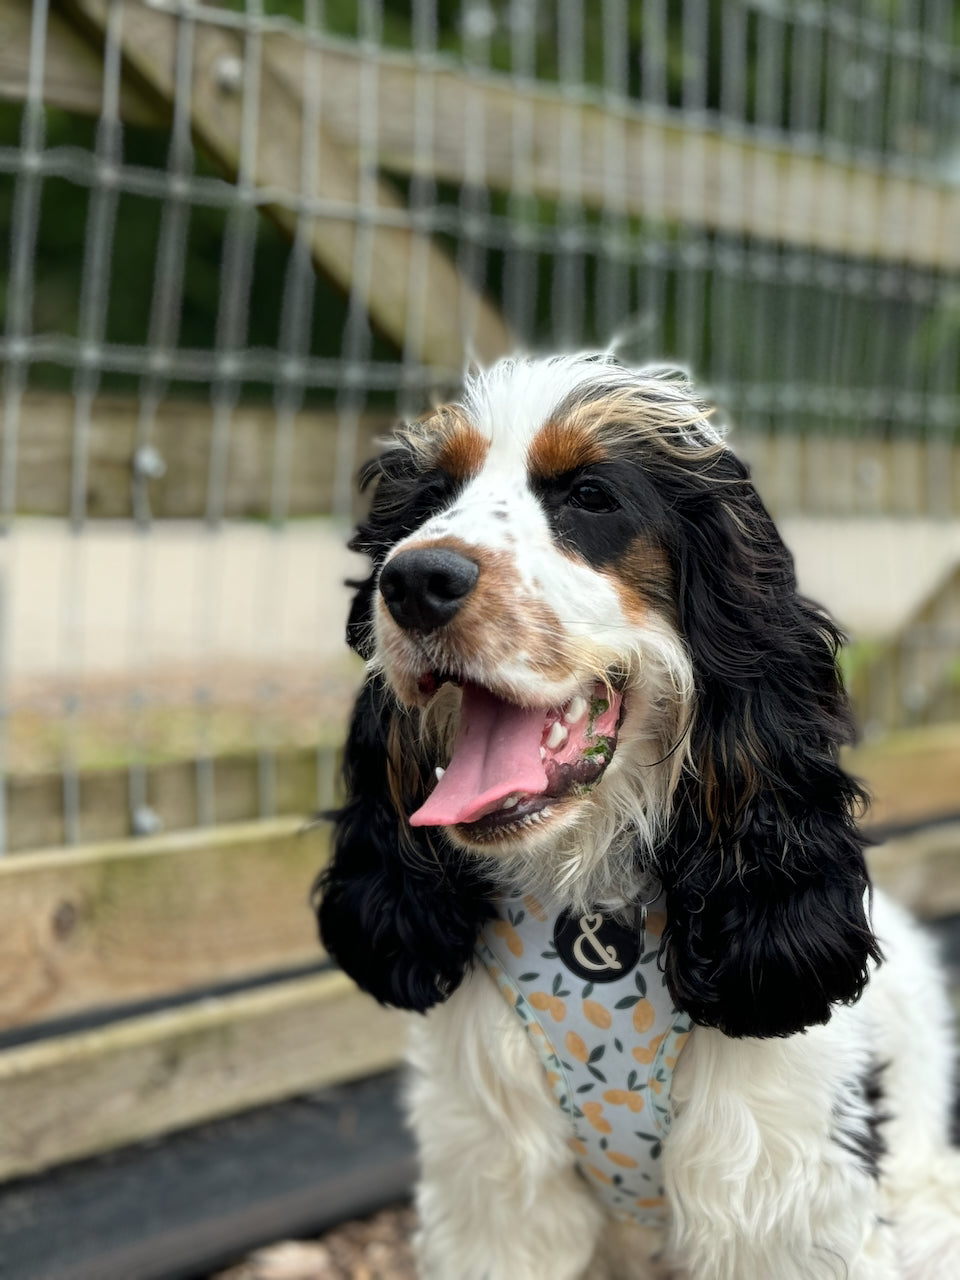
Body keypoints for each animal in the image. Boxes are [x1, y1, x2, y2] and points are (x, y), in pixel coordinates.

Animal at [317, 353, 960, 1280]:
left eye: (590, 496)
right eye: (430, 497)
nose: (412, 582)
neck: (588, 902)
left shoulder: (783, 1202)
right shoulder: (497, 1198)